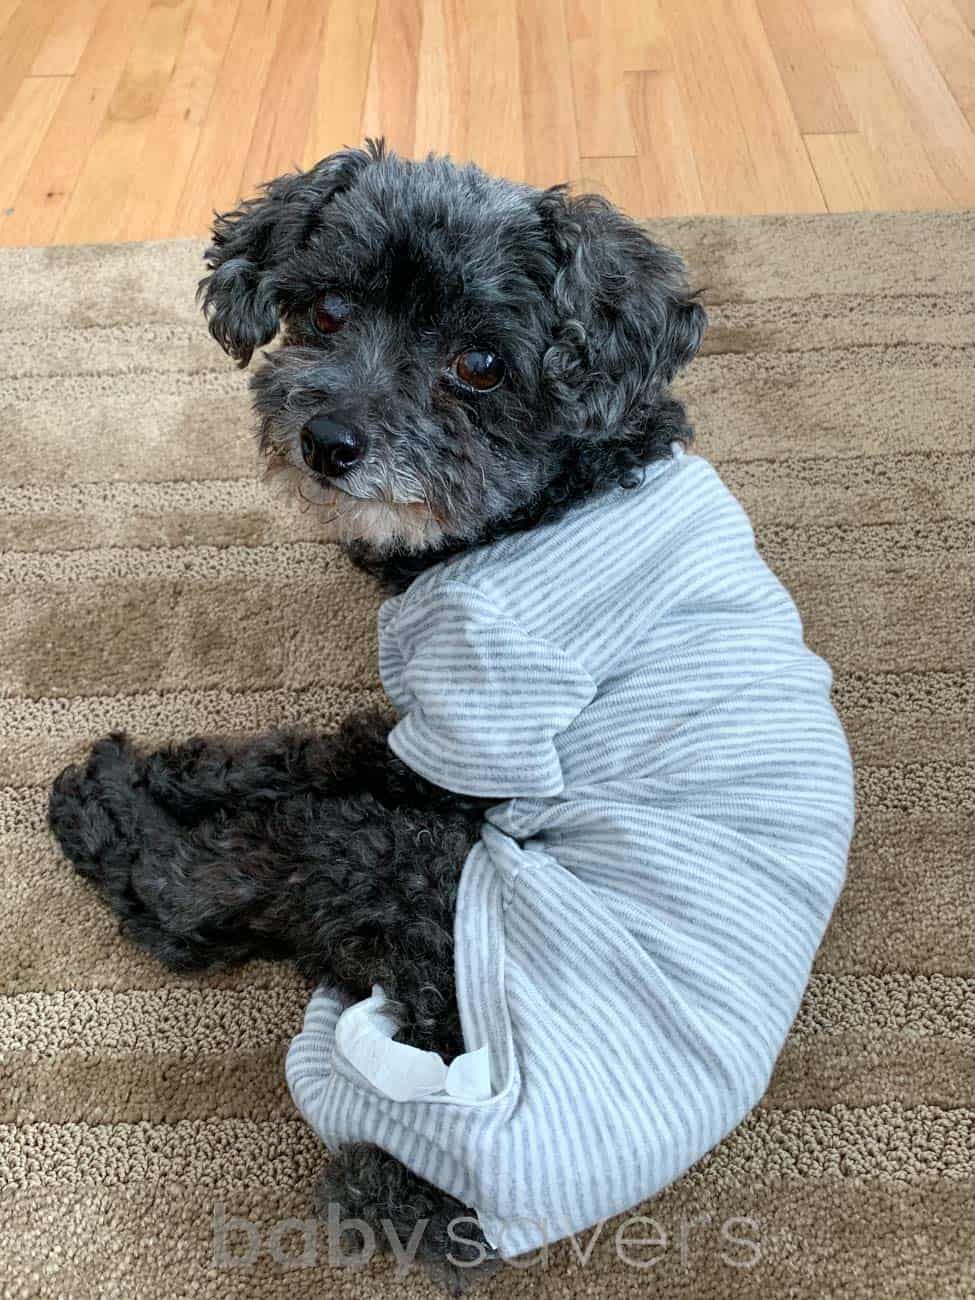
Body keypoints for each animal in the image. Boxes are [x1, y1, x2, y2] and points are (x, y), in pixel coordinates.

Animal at [45, 144, 852, 1289]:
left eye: (480, 364)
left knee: (220, 887)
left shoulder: (466, 724)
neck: (563, 494)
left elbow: (311, 751)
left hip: (414, 874)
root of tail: (469, 1192)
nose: (327, 441)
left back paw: (107, 812)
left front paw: (172, 773)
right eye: (326, 310)